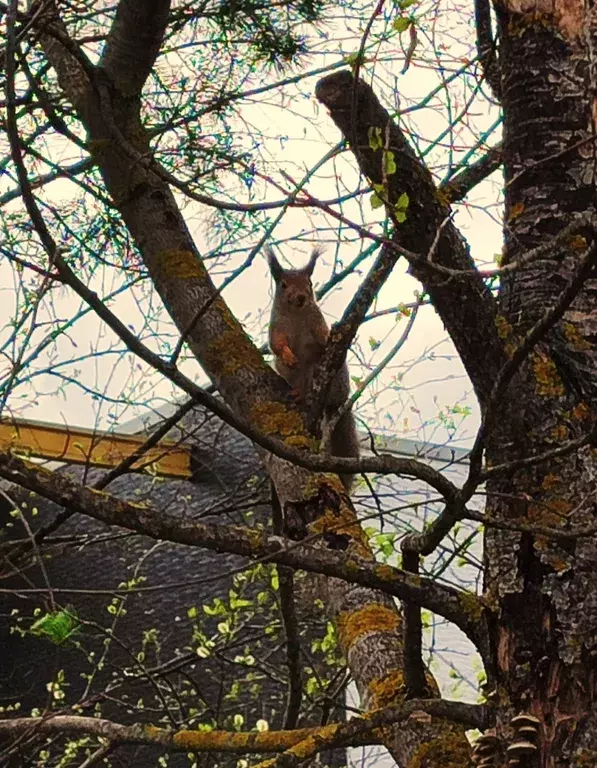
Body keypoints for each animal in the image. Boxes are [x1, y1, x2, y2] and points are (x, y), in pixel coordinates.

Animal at [268, 244, 358, 492]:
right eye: (283, 284)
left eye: (308, 282)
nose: (301, 297)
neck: (297, 314)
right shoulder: (277, 327)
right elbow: (276, 345)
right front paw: (288, 356)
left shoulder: (316, 322)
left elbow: (322, 337)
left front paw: (329, 337)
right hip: (292, 376)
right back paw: (297, 392)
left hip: (332, 377)